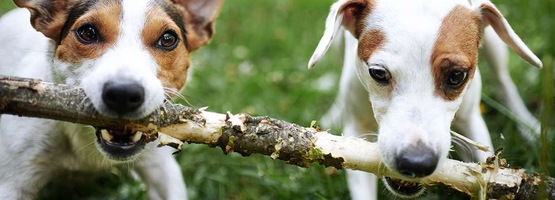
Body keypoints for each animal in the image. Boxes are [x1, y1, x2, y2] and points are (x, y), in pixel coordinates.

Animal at [310, 0, 544, 198]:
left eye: (457, 76)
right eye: (378, 73)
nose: (416, 163)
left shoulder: (472, 121)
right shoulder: (356, 130)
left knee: (504, 80)